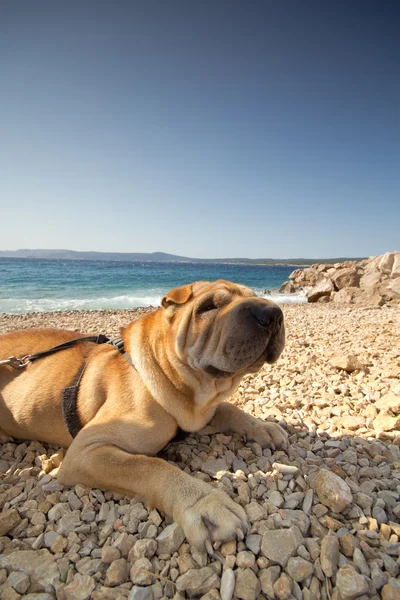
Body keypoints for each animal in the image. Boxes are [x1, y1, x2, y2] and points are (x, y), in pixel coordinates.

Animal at [0, 278, 288, 552]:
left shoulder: (202, 412)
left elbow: (229, 409)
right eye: (208, 307)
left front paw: (262, 427)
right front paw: (206, 504)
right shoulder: (87, 450)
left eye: (254, 296)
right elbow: (150, 466)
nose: (271, 312)